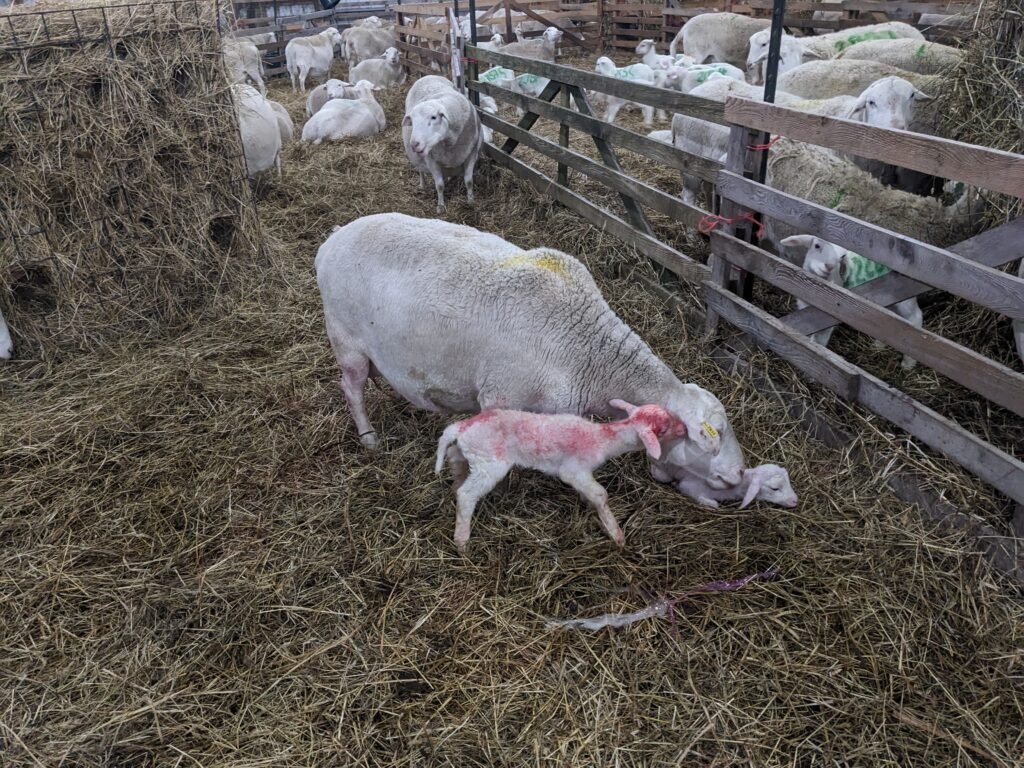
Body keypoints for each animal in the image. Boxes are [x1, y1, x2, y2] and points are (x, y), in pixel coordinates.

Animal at [401, 74, 481, 210]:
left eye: (433, 117)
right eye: (412, 121)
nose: (414, 144)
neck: (449, 142)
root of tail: (428, 76)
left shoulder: (471, 154)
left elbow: (469, 181)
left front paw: (471, 201)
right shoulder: (431, 161)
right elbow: (439, 185)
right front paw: (441, 206)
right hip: (418, 159)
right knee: (420, 170)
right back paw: (422, 184)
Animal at [434, 399, 688, 548]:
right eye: (663, 429)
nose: (685, 429)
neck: (603, 438)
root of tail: (462, 427)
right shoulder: (574, 470)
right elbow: (600, 494)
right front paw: (616, 534)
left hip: (472, 453)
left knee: (455, 457)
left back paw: (455, 484)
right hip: (490, 462)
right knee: (467, 495)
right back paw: (462, 541)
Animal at [778, 236, 925, 370]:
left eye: (842, 257)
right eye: (817, 246)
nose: (829, 266)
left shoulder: (827, 316)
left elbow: (820, 340)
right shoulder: (806, 311)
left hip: (905, 295)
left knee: (915, 317)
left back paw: (908, 363)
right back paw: (879, 345)